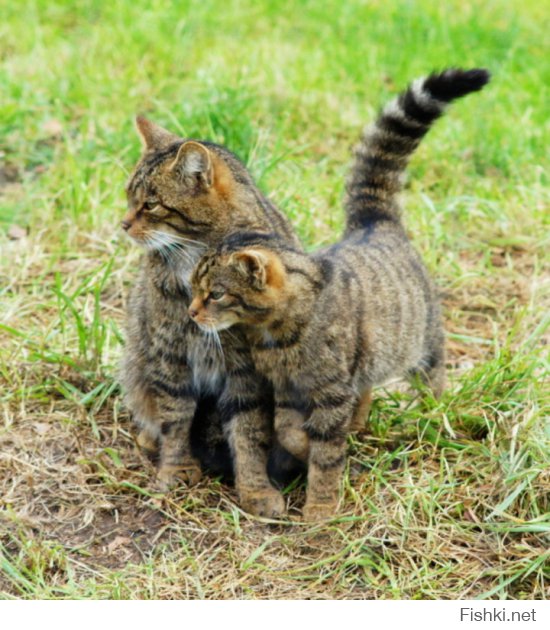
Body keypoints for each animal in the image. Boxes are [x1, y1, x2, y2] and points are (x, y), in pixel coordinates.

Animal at [119, 119, 304, 520]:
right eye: (128, 197)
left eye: (150, 204)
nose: (123, 224)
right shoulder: (170, 354)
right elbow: (175, 420)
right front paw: (175, 469)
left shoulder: (246, 368)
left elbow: (249, 432)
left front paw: (255, 489)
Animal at [190, 69, 492, 524]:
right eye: (193, 289)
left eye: (217, 294)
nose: (192, 313)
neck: (275, 335)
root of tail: (374, 222)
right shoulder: (288, 389)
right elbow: (288, 431)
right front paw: (307, 446)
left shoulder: (330, 389)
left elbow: (326, 453)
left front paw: (320, 506)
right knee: (364, 389)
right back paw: (359, 422)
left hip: (424, 345)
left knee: (433, 379)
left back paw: (429, 412)